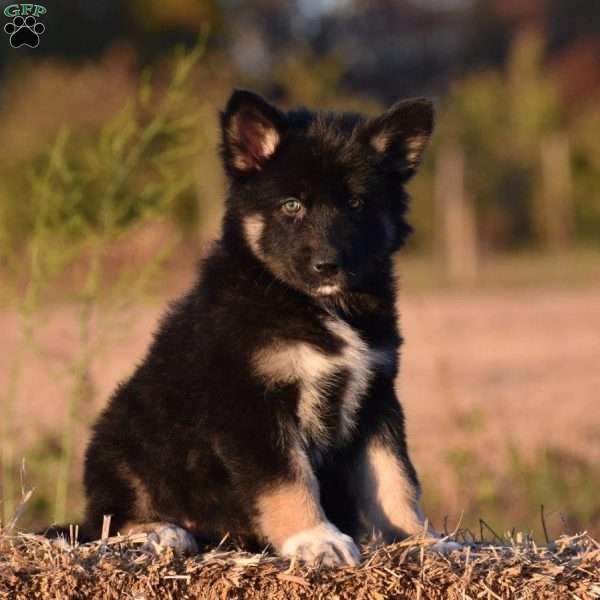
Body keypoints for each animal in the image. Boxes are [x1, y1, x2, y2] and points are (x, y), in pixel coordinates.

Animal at [79, 89, 446, 564]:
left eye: (356, 204)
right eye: (291, 206)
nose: (328, 265)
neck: (310, 302)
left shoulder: (378, 395)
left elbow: (396, 477)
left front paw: (423, 540)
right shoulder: (251, 402)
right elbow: (288, 478)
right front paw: (316, 538)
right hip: (122, 443)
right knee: (104, 521)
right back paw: (162, 532)